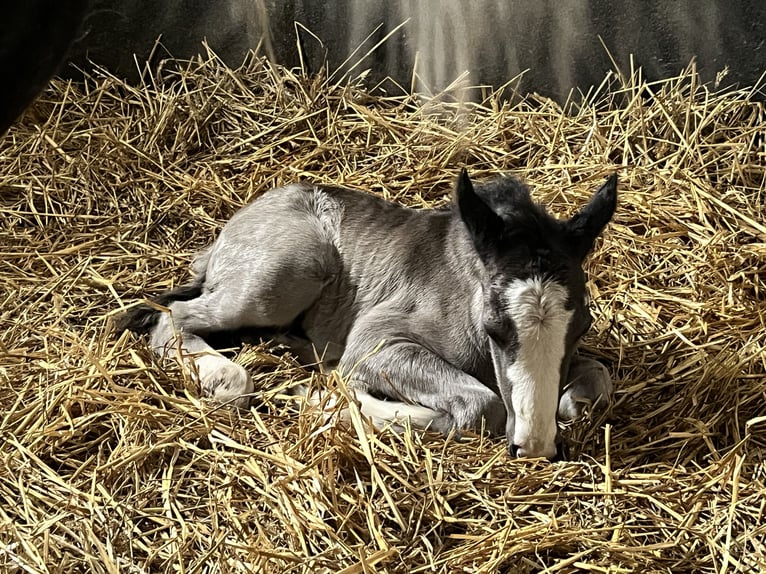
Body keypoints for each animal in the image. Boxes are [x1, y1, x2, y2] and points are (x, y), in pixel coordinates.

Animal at [118, 170, 616, 459]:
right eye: (494, 329)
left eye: (583, 326)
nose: (534, 447)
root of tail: (222, 239)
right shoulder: (376, 340)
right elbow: (482, 405)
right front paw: (322, 399)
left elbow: (598, 383)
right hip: (285, 273)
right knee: (173, 316)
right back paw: (228, 378)